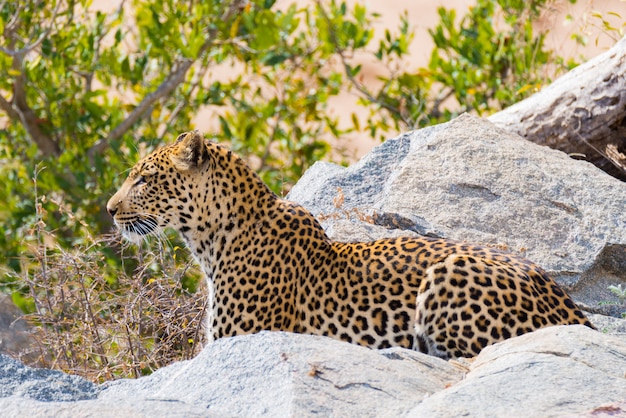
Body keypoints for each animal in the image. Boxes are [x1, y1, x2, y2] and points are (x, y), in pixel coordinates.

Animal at [105, 131, 592, 360]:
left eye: (144, 180)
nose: (109, 209)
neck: (211, 239)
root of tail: (575, 314)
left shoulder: (240, 339)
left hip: (448, 273)